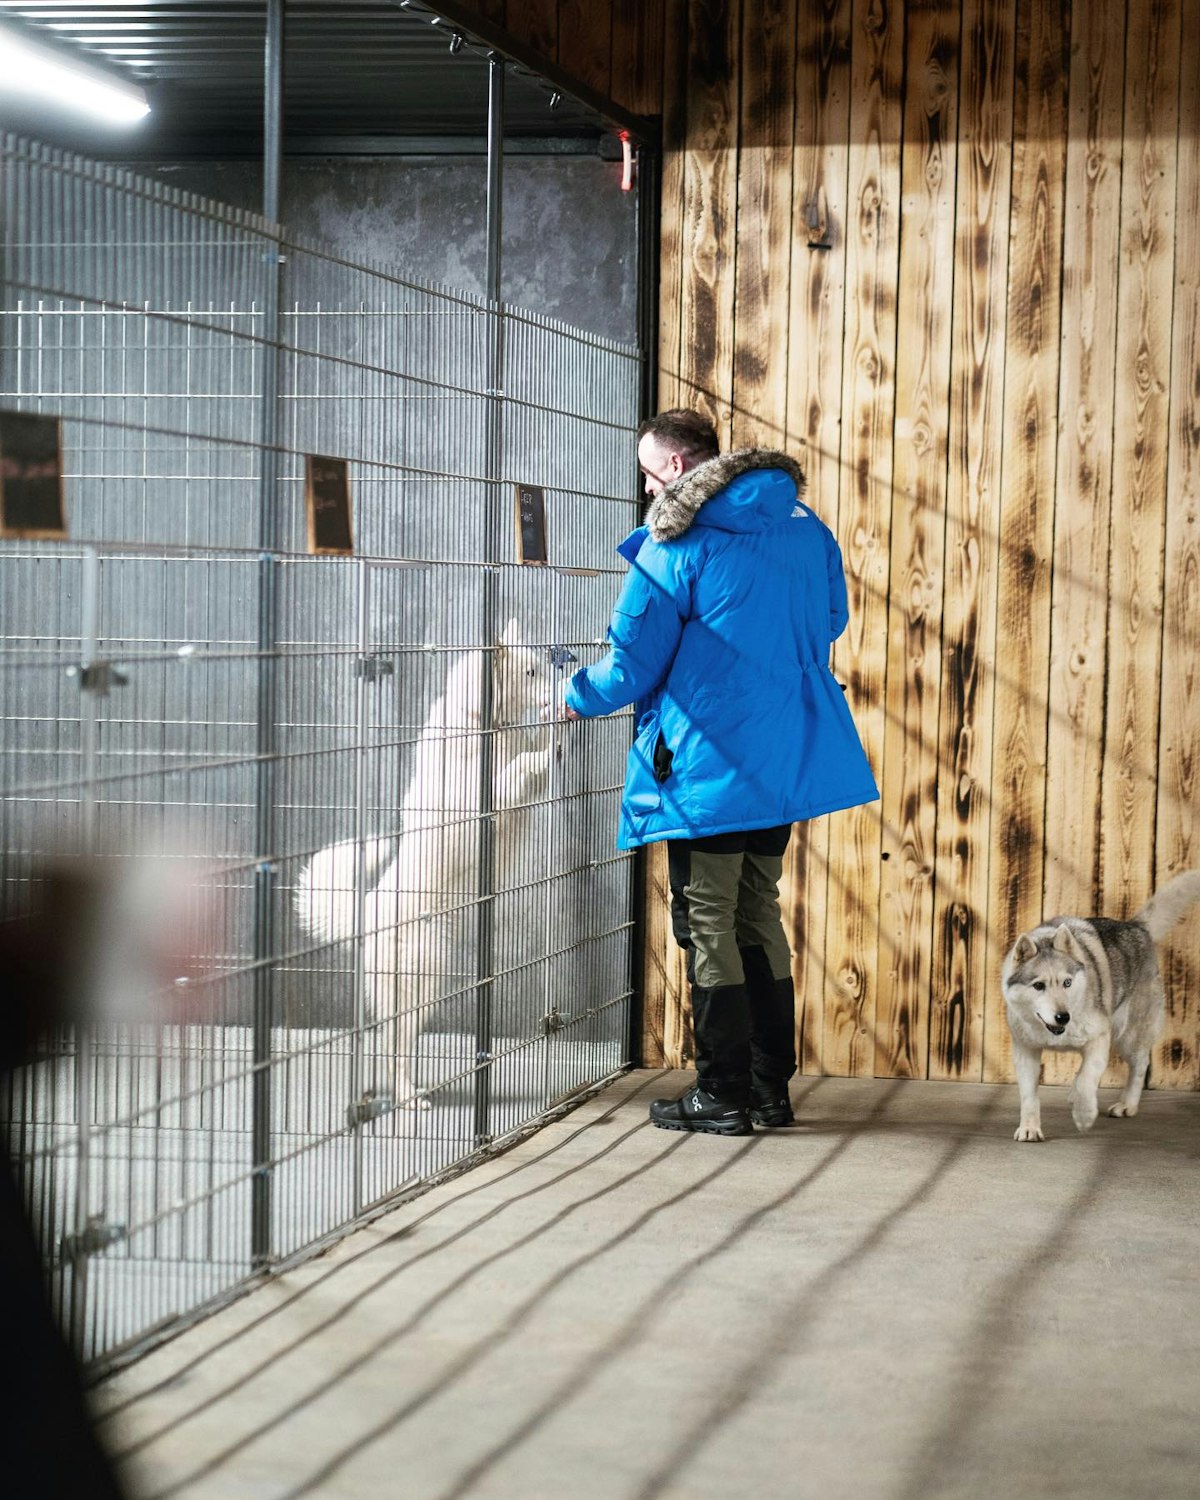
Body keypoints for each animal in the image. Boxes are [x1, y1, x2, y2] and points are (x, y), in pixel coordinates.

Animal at [292, 618, 555, 1104]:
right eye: (531, 673)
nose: (559, 689)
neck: (482, 725)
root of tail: (368, 910)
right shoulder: (478, 803)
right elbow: (518, 768)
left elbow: (533, 760)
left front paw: (556, 738)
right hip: (421, 979)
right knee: (393, 1046)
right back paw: (408, 1097)